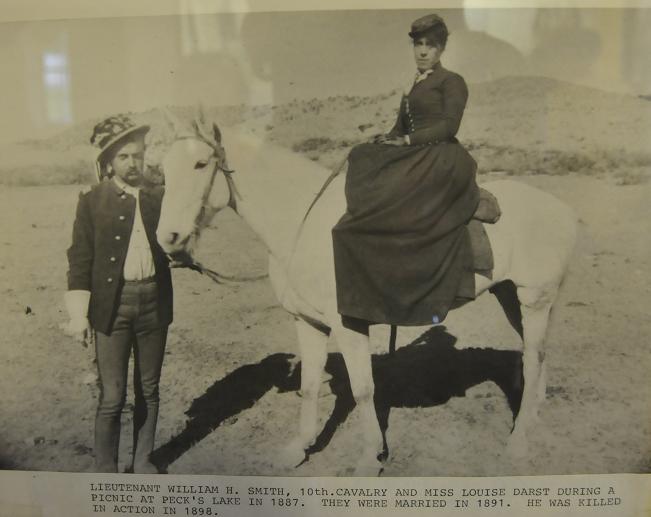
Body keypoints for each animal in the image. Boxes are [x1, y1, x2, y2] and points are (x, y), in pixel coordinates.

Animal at [157, 115, 576, 474]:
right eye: (162, 169)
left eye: (200, 164)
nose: (168, 238)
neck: (304, 224)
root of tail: (562, 210)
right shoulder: (307, 323)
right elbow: (310, 385)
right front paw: (299, 449)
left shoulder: (348, 325)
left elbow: (362, 390)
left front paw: (369, 458)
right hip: (511, 297)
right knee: (534, 354)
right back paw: (532, 414)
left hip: (534, 299)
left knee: (533, 359)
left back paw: (519, 442)